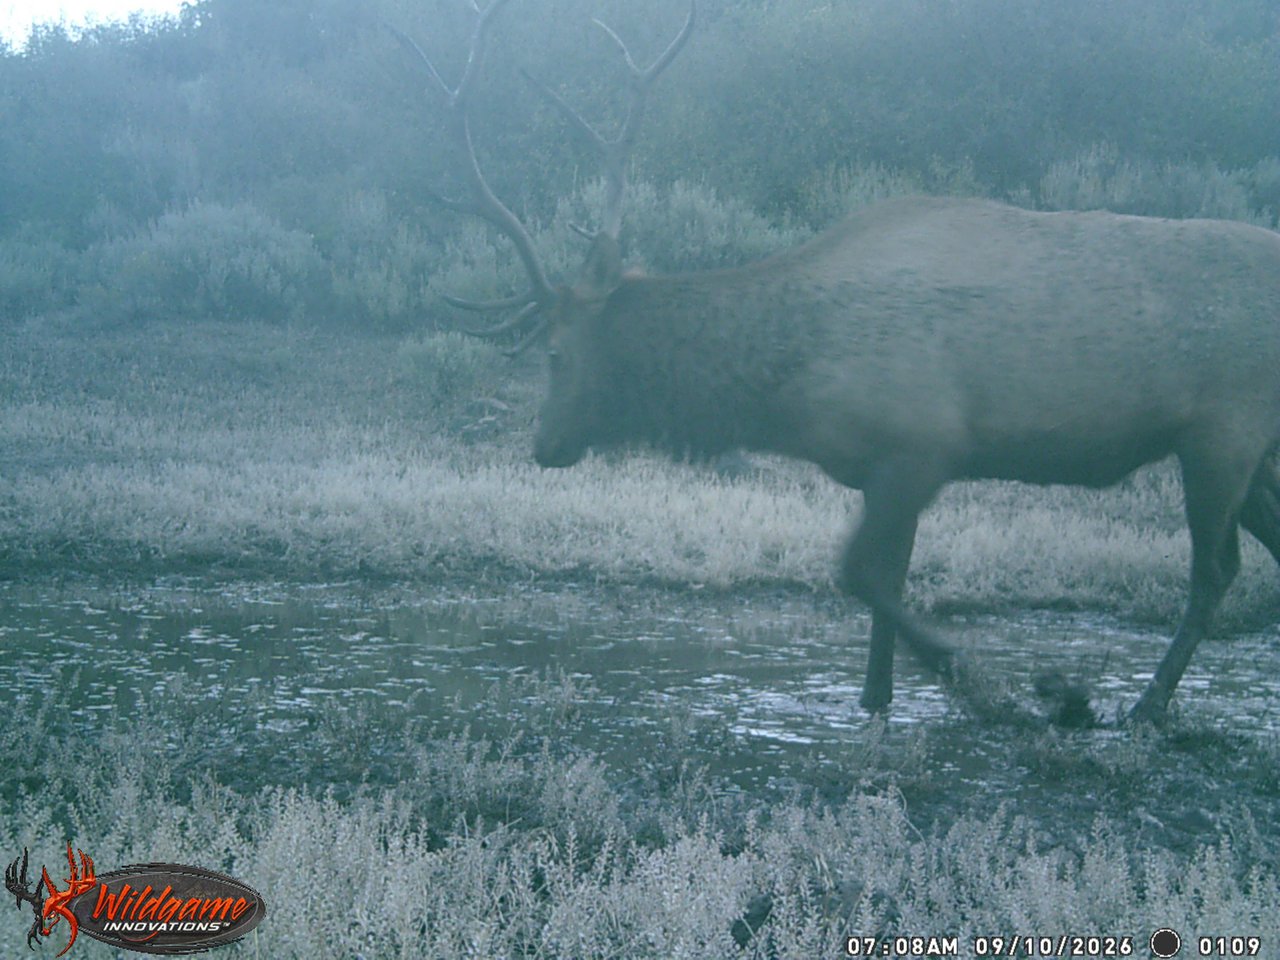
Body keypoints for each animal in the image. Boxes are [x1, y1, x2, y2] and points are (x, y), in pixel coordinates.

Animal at [399, 0, 1280, 724]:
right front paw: (875, 698)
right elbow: (887, 578)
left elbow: (857, 574)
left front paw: (1016, 691)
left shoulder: (921, 446)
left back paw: (1143, 706)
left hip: (1221, 432)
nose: (542, 444)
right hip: (1253, 448)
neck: (786, 388)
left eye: (555, 351)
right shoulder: (885, 467)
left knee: (1217, 570)